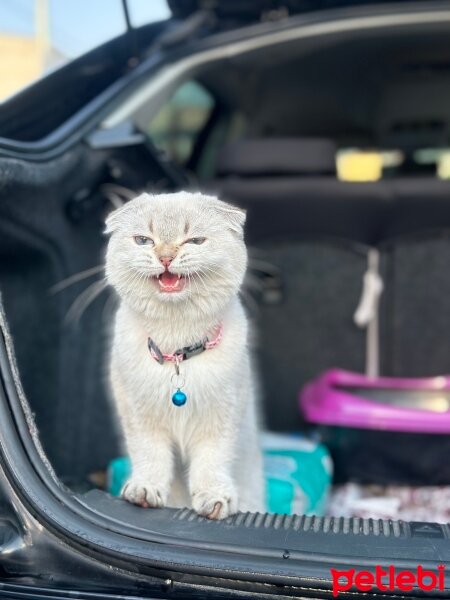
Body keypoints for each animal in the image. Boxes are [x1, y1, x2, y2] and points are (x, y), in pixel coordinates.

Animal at [105, 190, 264, 516]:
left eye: (195, 241)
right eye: (144, 240)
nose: (165, 257)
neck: (177, 349)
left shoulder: (221, 418)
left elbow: (211, 463)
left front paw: (214, 500)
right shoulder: (139, 416)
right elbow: (151, 457)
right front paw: (145, 491)